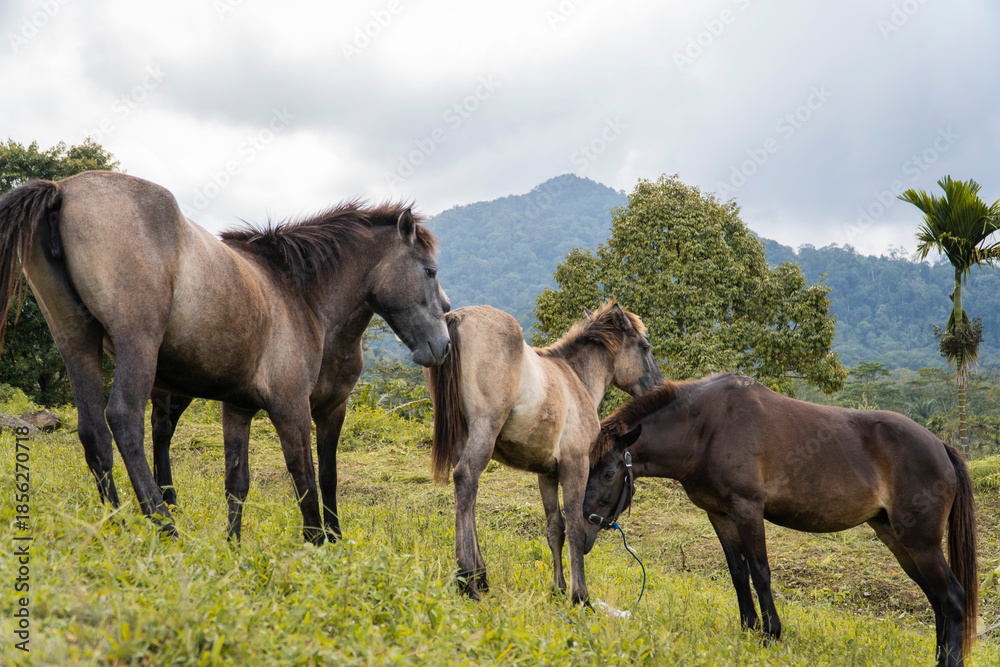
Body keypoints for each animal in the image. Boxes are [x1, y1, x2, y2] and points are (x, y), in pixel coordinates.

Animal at [0, 171, 452, 544]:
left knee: (94, 431)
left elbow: (238, 482)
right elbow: (309, 476)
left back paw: (116, 524)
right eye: (429, 271)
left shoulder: (239, 407)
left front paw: (233, 547)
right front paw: (320, 543)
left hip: (77, 342)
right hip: (138, 345)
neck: (298, 294)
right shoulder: (294, 408)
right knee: (124, 420)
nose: (443, 344)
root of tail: (62, 190)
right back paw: (165, 525)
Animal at [424, 301, 663, 604]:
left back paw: (480, 576)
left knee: (468, 499)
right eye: (645, 346)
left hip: (462, 438)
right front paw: (580, 596)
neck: (575, 378)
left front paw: (559, 588)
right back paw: (468, 581)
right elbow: (574, 528)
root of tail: (457, 317)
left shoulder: (547, 474)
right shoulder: (576, 466)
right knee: (466, 479)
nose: (659, 385)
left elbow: (555, 529)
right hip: (483, 431)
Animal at [582, 373, 978, 667]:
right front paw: (748, 629)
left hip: (921, 542)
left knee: (953, 597)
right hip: (897, 539)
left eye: (608, 473)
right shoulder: (719, 515)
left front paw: (770, 633)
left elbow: (760, 572)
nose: (585, 523)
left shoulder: (747, 510)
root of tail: (942, 447)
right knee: (937, 599)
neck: (706, 428)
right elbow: (738, 573)